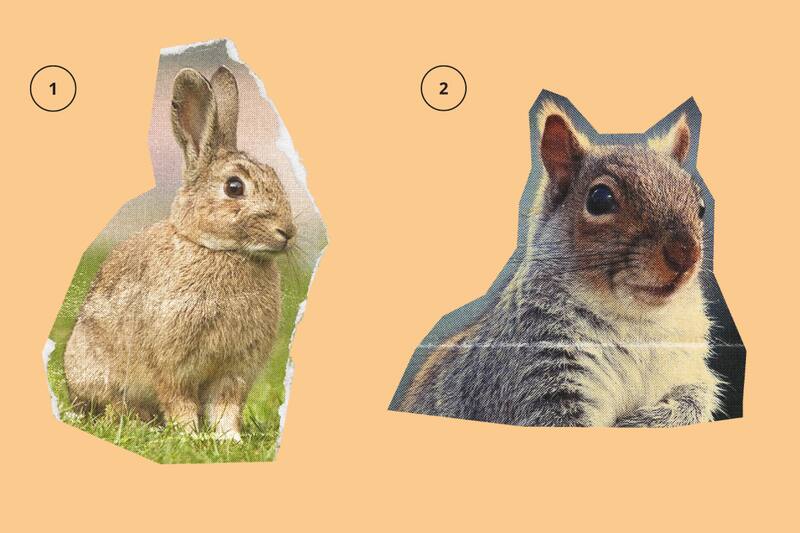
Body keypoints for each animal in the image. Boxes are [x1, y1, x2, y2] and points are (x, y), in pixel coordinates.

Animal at [63, 66, 295, 441]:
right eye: (234, 187)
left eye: (275, 176)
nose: (287, 232)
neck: (220, 250)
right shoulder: (172, 363)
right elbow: (179, 400)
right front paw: (189, 434)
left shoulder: (234, 370)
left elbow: (226, 406)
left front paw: (228, 438)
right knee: (111, 405)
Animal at [398, 100, 720, 427]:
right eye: (600, 199)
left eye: (700, 208)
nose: (685, 254)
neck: (640, 323)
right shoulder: (534, 370)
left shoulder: (688, 369)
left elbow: (695, 398)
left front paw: (643, 420)